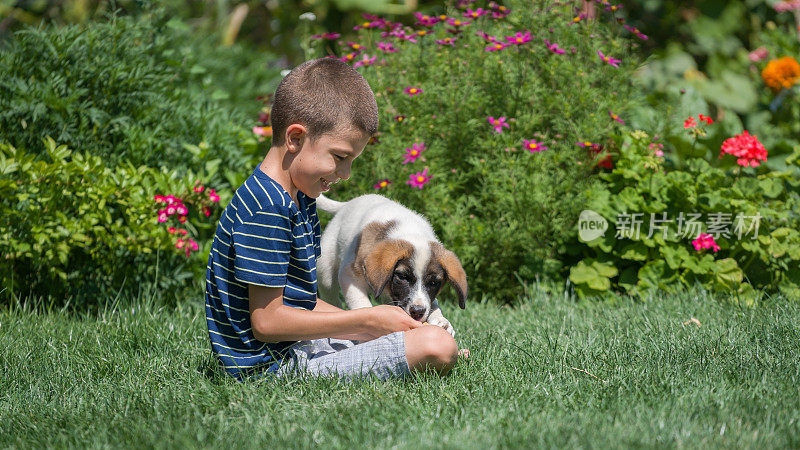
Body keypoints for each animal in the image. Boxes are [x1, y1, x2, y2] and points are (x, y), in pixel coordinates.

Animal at [318, 194, 468, 338]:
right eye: (403, 277)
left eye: (433, 283)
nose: (417, 312)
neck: (411, 233)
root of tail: (347, 204)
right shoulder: (349, 275)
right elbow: (361, 305)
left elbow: (433, 302)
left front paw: (442, 321)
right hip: (325, 271)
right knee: (330, 294)